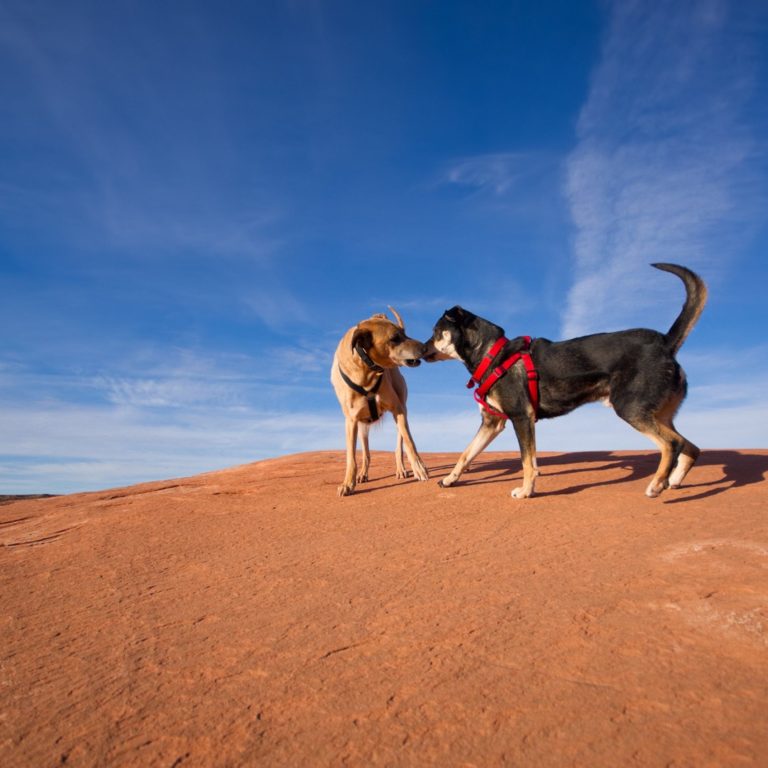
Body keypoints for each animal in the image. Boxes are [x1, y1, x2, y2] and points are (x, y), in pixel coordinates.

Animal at [328, 308, 428, 498]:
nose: (426, 347)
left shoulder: (397, 409)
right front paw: (348, 483)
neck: (365, 371)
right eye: (394, 338)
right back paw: (363, 474)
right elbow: (351, 457)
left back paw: (401, 469)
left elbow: (409, 442)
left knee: (399, 443)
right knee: (366, 453)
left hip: (402, 408)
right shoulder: (351, 421)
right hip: (362, 427)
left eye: (404, 333)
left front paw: (419, 468)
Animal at [426, 264, 708, 498]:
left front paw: (526, 491)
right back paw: (674, 480)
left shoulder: (521, 417)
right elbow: (467, 453)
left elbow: (527, 462)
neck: (491, 354)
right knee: (691, 447)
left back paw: (657, 484)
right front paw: (450, 479)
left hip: (632, 409)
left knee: (672, 443)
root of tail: (665, 344)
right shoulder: (492, 423)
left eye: (436, 332)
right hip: (659, 413)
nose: (421, 350)